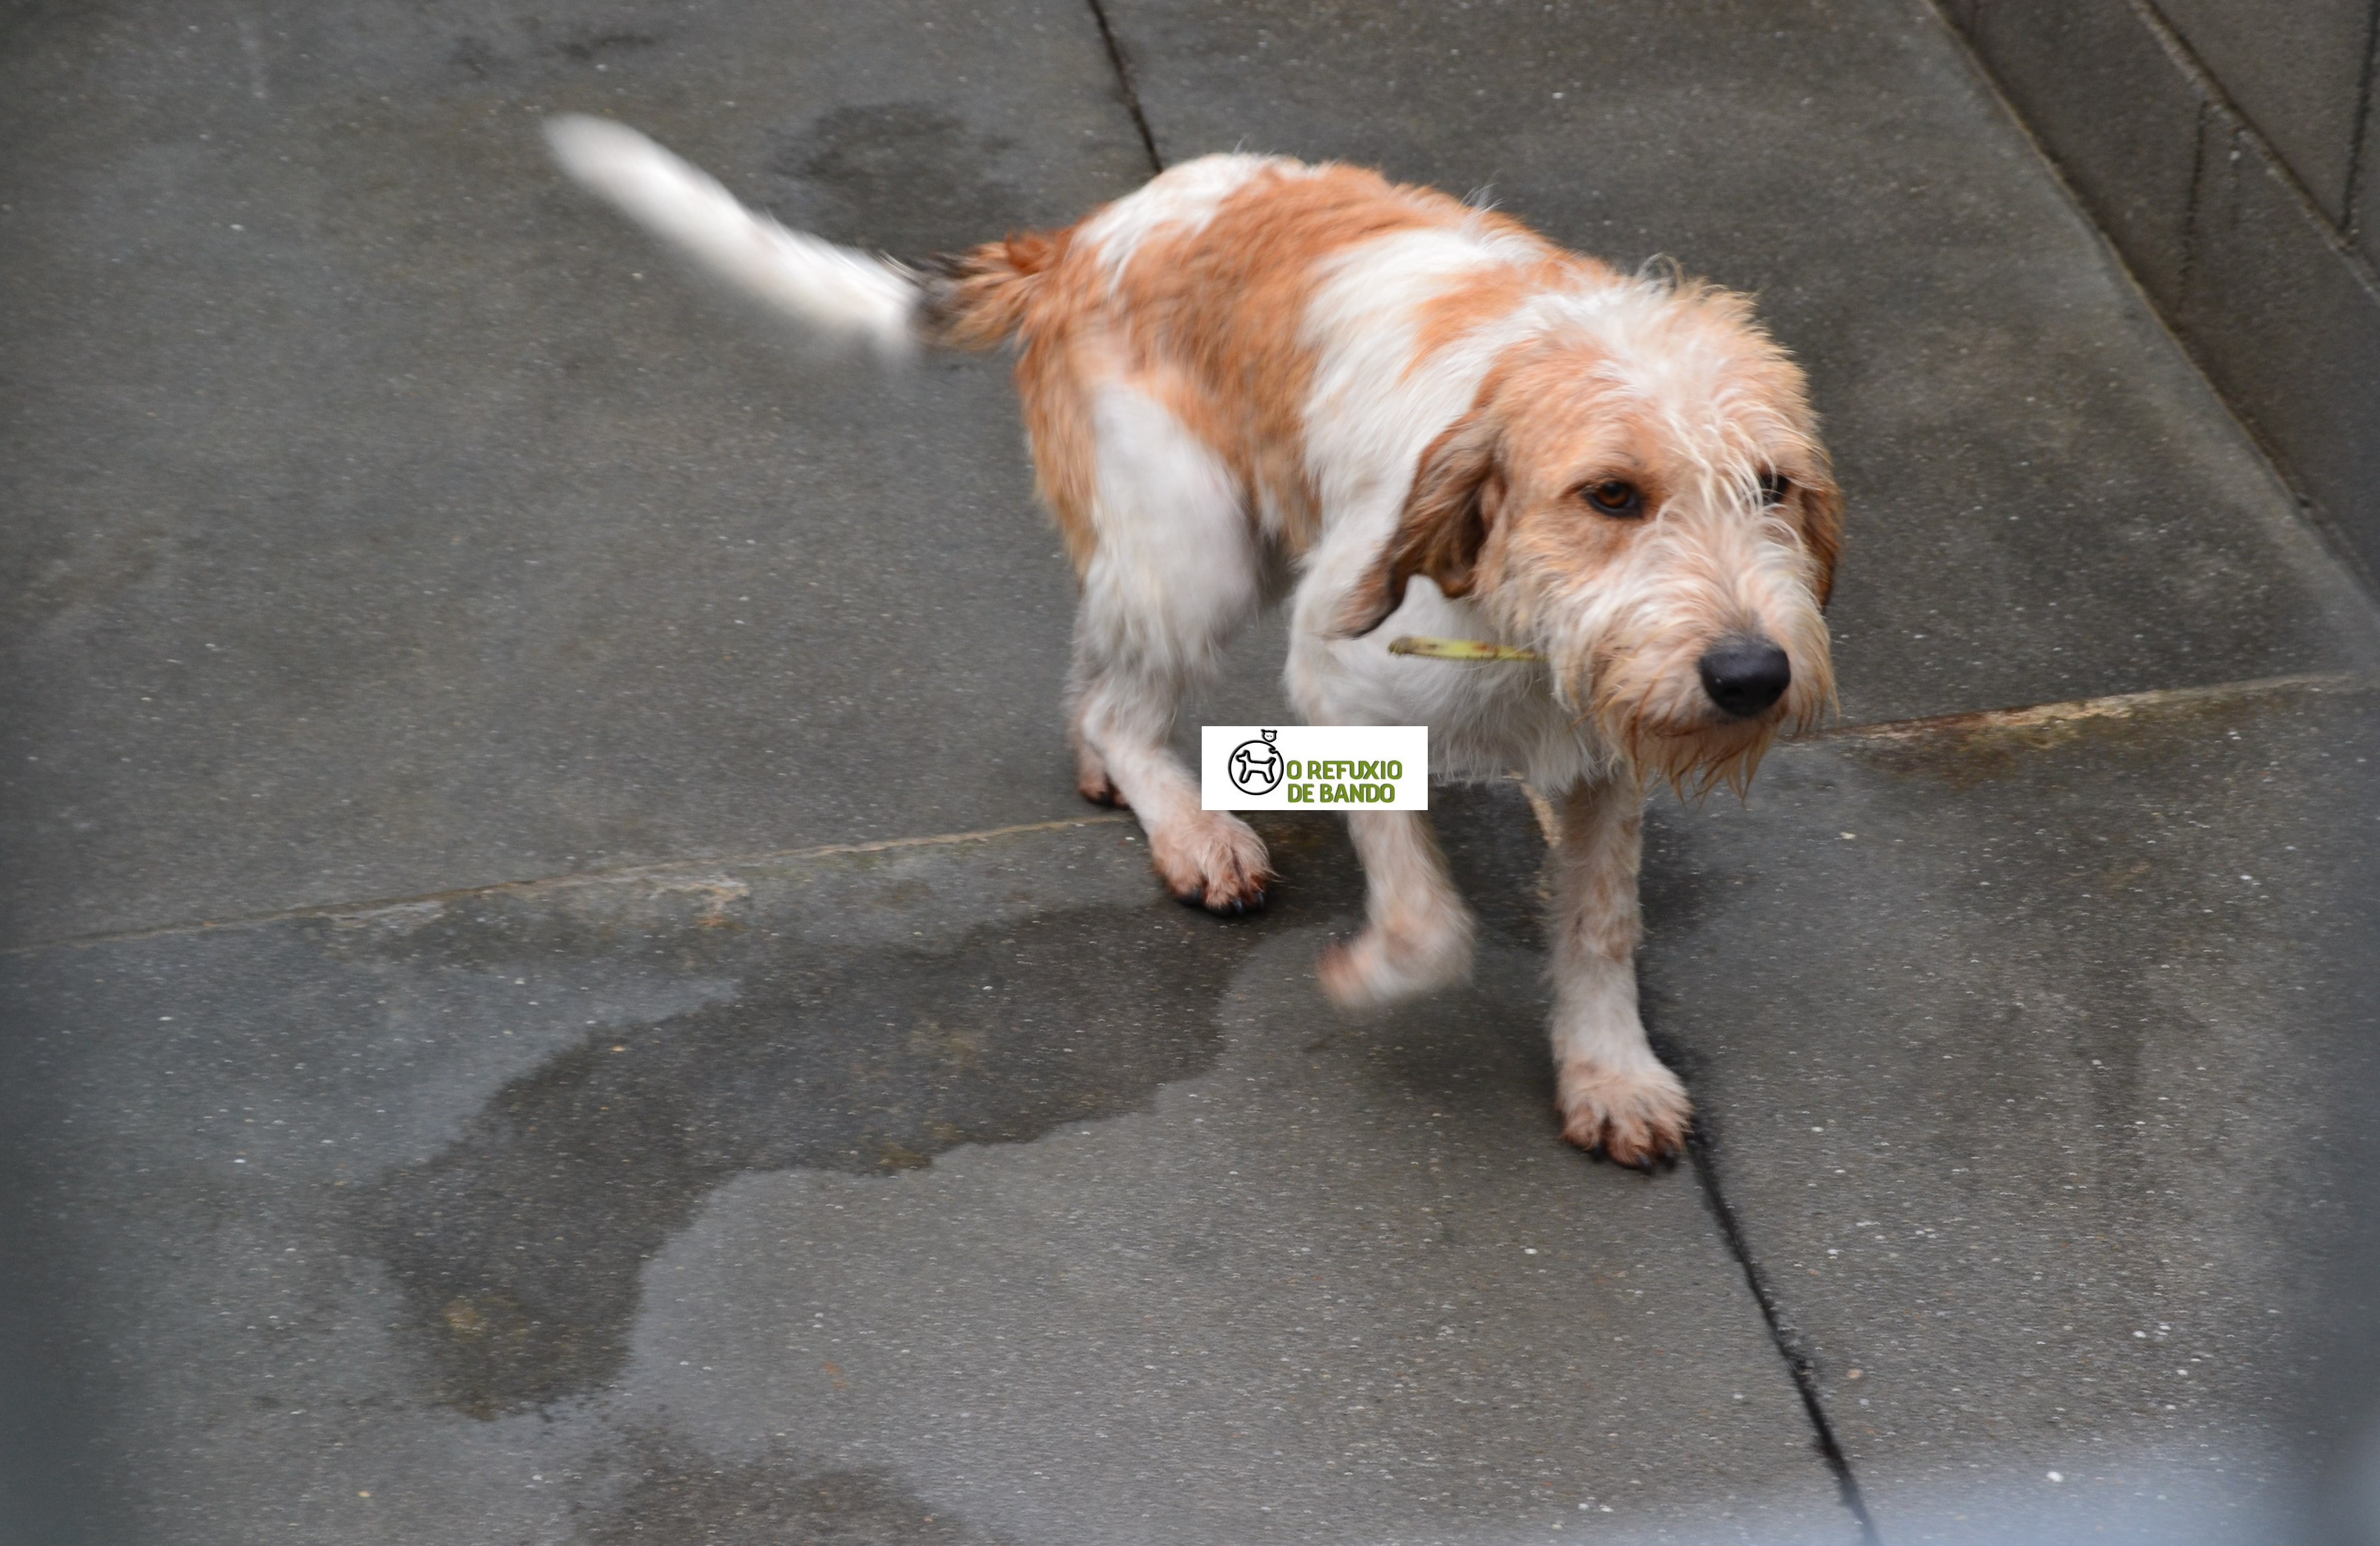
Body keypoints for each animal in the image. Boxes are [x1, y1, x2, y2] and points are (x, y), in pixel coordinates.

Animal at [547, 118, 1840, 1166]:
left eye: (1771, 487)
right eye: (1610, 494)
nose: (1750, 676)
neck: (1515, 628)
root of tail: (1074, 241)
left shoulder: (1606, 755)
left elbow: (1599, 922)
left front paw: (1609, 1073)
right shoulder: (1335, 678)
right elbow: (1427, 926)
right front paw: (1368, 970)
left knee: (1098, 668)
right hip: (1199, 549)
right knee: (1127, 704)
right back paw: (1187, 828)